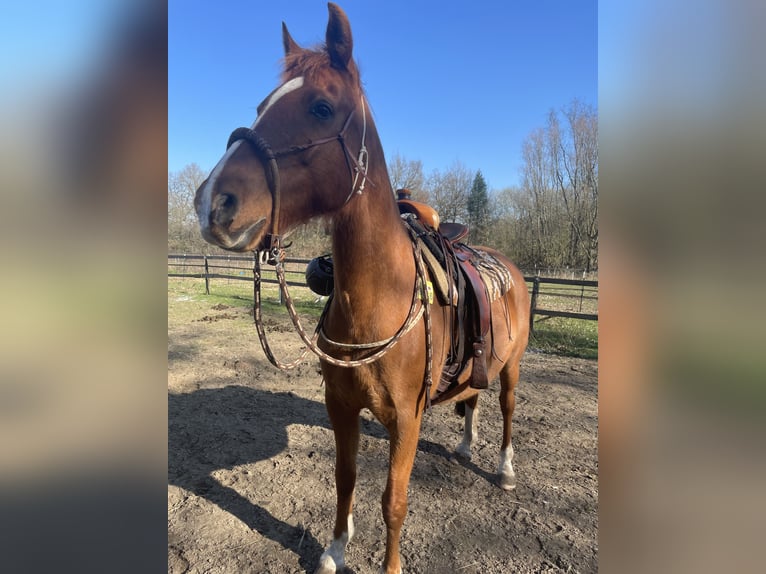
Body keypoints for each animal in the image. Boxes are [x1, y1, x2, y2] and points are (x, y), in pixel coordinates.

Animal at [194, 4, 530, 573]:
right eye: (262, 106)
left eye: (321, 107)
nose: (212, 201)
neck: (377, 300)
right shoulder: (342, 408)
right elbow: (345, 479)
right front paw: (333, 551)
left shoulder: (406, 421)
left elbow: (393, 501)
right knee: (473, 399)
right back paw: (465, 445)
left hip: (513, 364)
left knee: (504, 407)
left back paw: (504, 469)